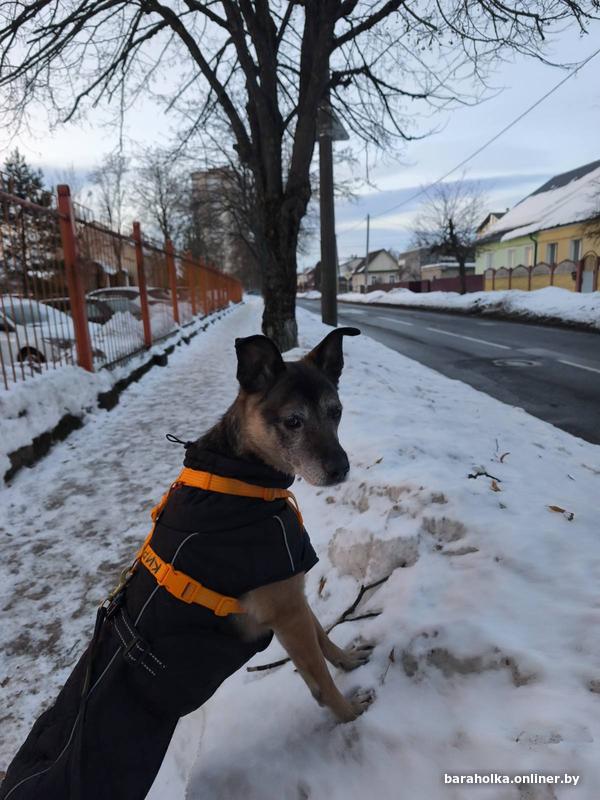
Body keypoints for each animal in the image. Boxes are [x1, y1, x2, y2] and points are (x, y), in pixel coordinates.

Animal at [0, 326, 374, 800]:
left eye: (336, 412)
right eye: (293, 421)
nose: (341, 469)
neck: (239, 477)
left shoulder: (290, 590)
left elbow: (324, 637)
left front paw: (347, 661)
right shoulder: (284, 609)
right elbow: (319, 678)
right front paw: (350, 715)